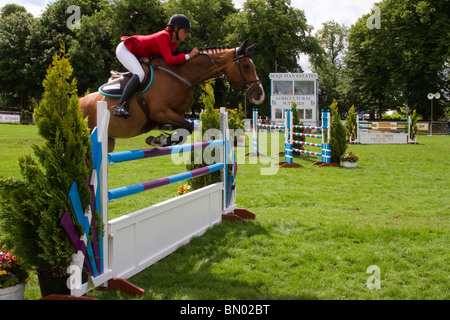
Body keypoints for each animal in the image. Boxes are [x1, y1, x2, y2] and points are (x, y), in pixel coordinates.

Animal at [79, 39, 266, 152]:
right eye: (246, 66)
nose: (260, 95)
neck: (181, 74)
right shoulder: (160, 112)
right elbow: (188, 127)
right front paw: (160, 140)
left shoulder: (176, 114)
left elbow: (184, 129)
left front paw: (159, 139)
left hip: (109, 141)